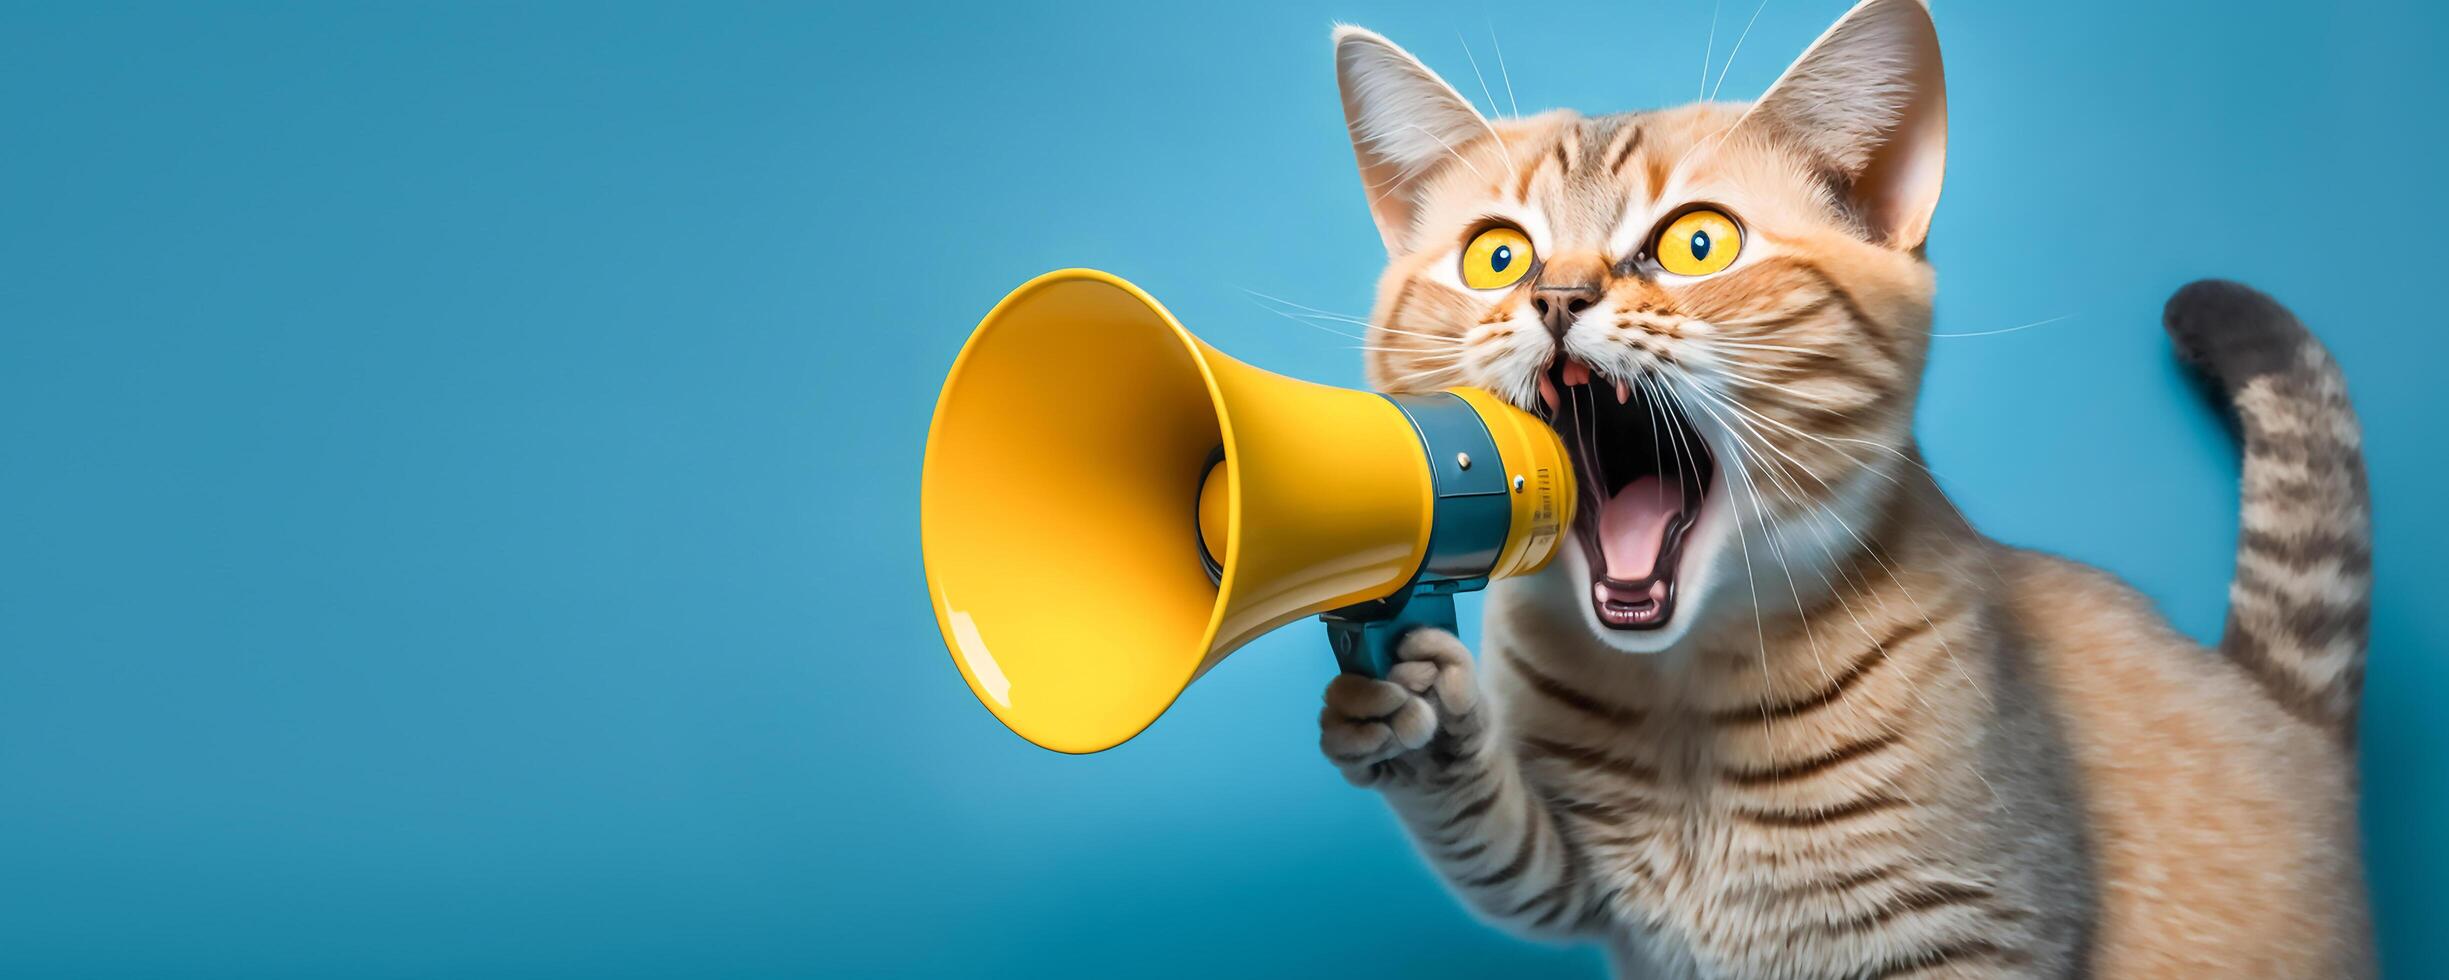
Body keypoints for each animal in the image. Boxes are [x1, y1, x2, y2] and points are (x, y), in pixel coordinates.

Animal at [1322, 3, 2370, 975]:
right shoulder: (1574, 884)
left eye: (1698, 244)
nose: (1556, 296)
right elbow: (1498, 841)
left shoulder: (1977, 926)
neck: (1680, 703)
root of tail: (2285, 711)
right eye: (1496, 256)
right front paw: (1411, 708)